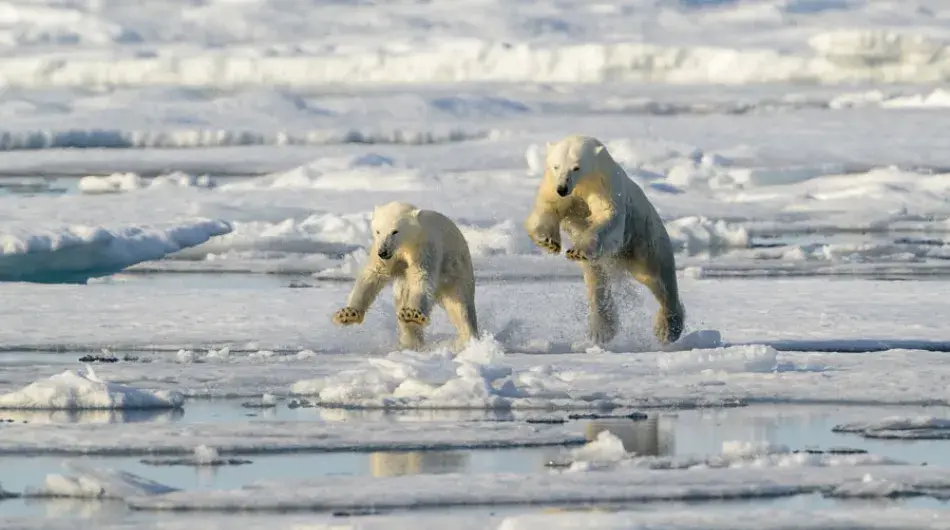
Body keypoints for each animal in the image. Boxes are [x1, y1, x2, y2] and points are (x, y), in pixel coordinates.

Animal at [332, 201, 479, 351]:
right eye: (378, 231)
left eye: (395, 231)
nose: (383, 251)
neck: (406, 245)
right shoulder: (382, 253)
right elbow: (372, 275)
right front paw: (348, 314)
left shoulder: (424, 248)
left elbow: (421, 277)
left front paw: (412, 314)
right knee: (402, 298)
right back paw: (411, 341)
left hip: (456, 270)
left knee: (460, 306)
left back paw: (468, 339)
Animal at [524, 134, 686, 346]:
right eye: (556, 166)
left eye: (576, 167)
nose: (562, 188)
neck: (583, 185)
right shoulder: (553, 187)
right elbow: (548, 209)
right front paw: (547, 241)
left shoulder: (605, 185)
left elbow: (607, 217)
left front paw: (576, 250)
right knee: (596, 279)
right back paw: (601, 330)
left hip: (644, 239)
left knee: (656, 277)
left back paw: (667, 329)